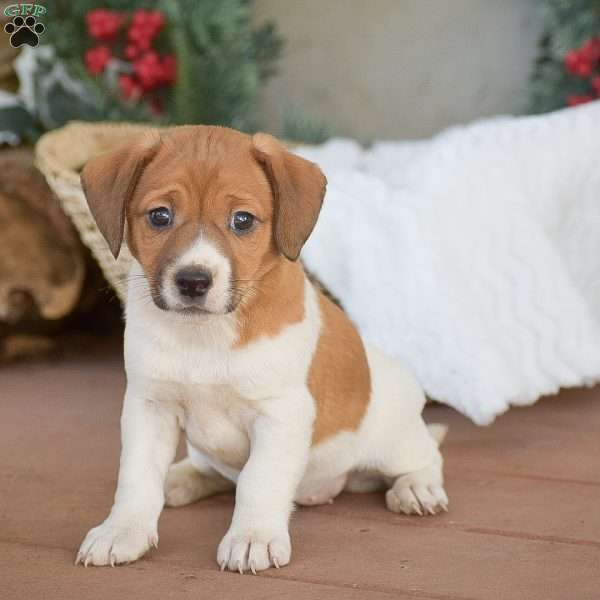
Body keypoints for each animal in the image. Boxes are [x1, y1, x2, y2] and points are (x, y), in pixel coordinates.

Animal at [75, 125, 446, 572]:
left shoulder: (279, 413)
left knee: (427, 457)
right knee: (208, 469)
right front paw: (122, 530)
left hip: (393, 442)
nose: (193, 281)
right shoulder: (149, 406)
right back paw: (180, 478)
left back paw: (417, 488)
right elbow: (137, 477)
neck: (205, 335)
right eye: (160, 216)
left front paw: (253, 537)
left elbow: (258, 480)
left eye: (242, 220)